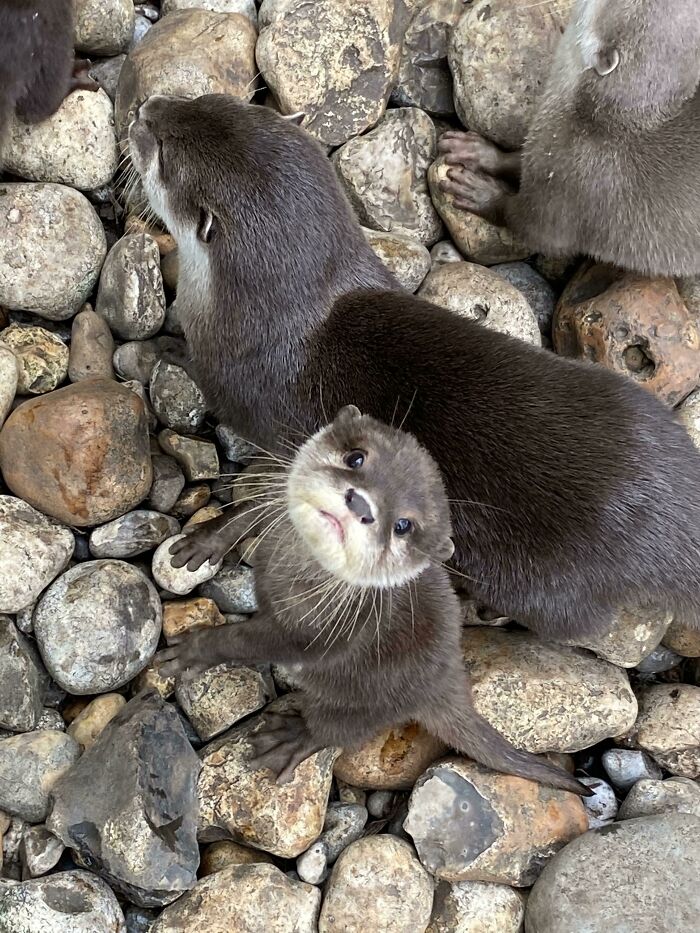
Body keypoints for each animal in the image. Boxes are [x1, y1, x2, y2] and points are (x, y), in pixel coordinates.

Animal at [129, 93, 700, 640]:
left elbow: (264, 490)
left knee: (574, 626)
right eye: (206, 101)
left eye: (162, 153)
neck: (280, 321)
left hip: (540, 581)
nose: (146, 109)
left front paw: (205, 535)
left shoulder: (259, 403)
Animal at [156, 406, 588, 792]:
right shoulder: (277, 501)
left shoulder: (318, 632)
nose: (361, 504)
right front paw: (206, 541)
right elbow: (248, 511)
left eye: (403, 525)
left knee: (338, 728)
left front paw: (193, 652)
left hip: (374, 700)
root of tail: (448, 678)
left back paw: (292, 737)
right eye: (356, 457)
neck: (295, 569)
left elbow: (247, 641)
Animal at [438, 0, 700, 276]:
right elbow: (517, 159)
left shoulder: (571, 187)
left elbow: (529, 226)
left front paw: (480, 193)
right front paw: (477, 151)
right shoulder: (543, 149)